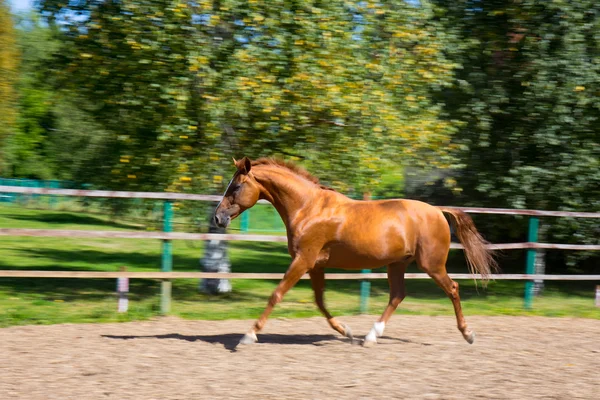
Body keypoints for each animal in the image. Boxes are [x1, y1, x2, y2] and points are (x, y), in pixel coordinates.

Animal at [214, 156, 496, 346]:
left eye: (236, 187)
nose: (218, 218)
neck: (308, 208)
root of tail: (438, 210)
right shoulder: (315, 265)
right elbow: (319, 301)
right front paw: (346, 331)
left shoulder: (303, 260)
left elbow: (276, 294)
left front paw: (249, 335)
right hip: (397, 264)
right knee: (397, 295)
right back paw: (370, 336)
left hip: (432, 265)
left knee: (452, 289)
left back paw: (468, 334)